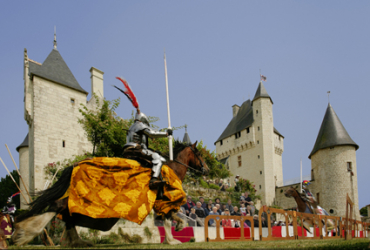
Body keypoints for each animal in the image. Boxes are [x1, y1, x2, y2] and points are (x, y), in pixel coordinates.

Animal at [11, 141, 208, 246]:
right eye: (199, 154)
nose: (206, 169)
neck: (170, 169)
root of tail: (76, 164)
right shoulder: (165, 199)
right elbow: (168, 218)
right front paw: (172, 239)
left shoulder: (160, 202)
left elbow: (174, 216)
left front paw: (179, 229)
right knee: (57, 206)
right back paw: (25, 232)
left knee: (66, 214)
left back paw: (78, 242)